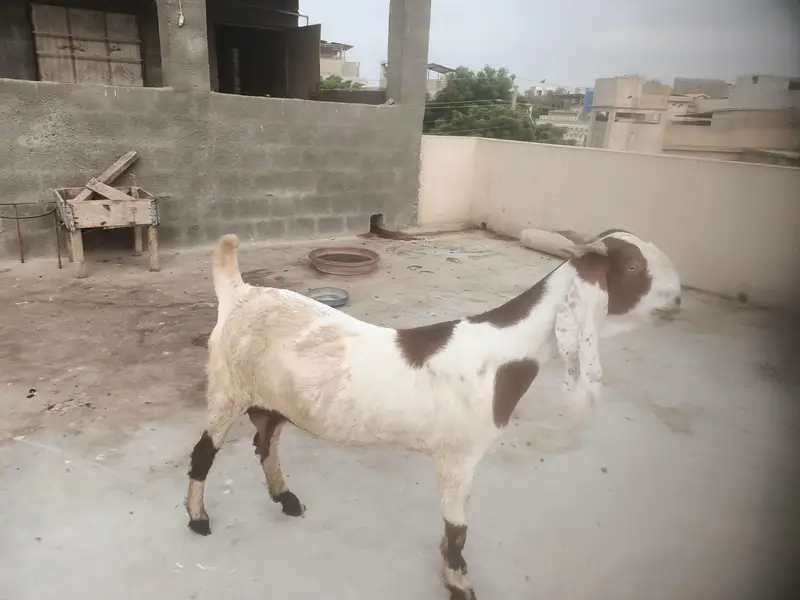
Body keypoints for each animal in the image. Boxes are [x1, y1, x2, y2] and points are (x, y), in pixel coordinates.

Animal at [185, 230, 682, 600]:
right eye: (634, 268)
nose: (677, 301)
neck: (505, 353)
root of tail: (240, 291)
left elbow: (455, 522)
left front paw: (448, 567)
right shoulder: (458, 454)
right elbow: (458, 527)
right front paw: (459, 583)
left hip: (271, 396)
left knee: (265, 439)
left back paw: (285, 498)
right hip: (228, 387)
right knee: (204, 453)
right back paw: (198, 518)